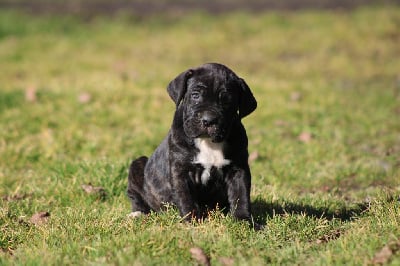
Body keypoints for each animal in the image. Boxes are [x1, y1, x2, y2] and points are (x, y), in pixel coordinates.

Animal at [129, 62, 260, 227]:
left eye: (227, 100)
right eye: (195, 95)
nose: (208, 119)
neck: (207, 142)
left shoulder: (238, 169)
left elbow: (240, 196)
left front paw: (244, 221)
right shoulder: (180, 171)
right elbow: (185, 198)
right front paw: (191, 221)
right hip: (137, 165)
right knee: (137, 198)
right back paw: (138, 214)